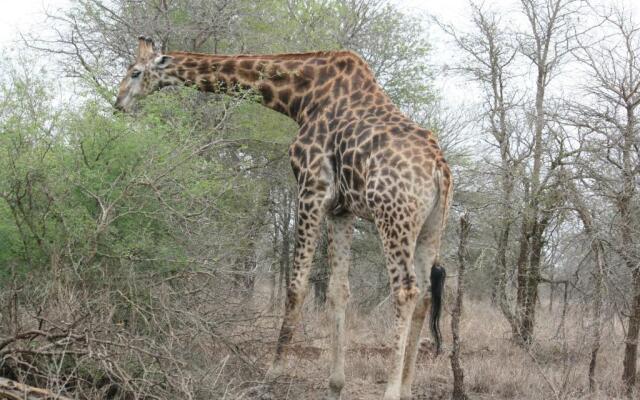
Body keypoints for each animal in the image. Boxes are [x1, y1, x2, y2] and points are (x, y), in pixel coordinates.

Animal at [117, 36, 452, 400]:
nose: (118, 102)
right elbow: (338, 290)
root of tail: (440, 169)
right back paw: (406, 388)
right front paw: (335, 386)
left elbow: (296, 286)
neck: (302, 97)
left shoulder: (311, 186)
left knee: (405, 290)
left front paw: (271, 375)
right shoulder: (341, 209)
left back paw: (392, 390)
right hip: (430, 227)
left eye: (135, 72)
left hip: (393, 216)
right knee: (425, 295)